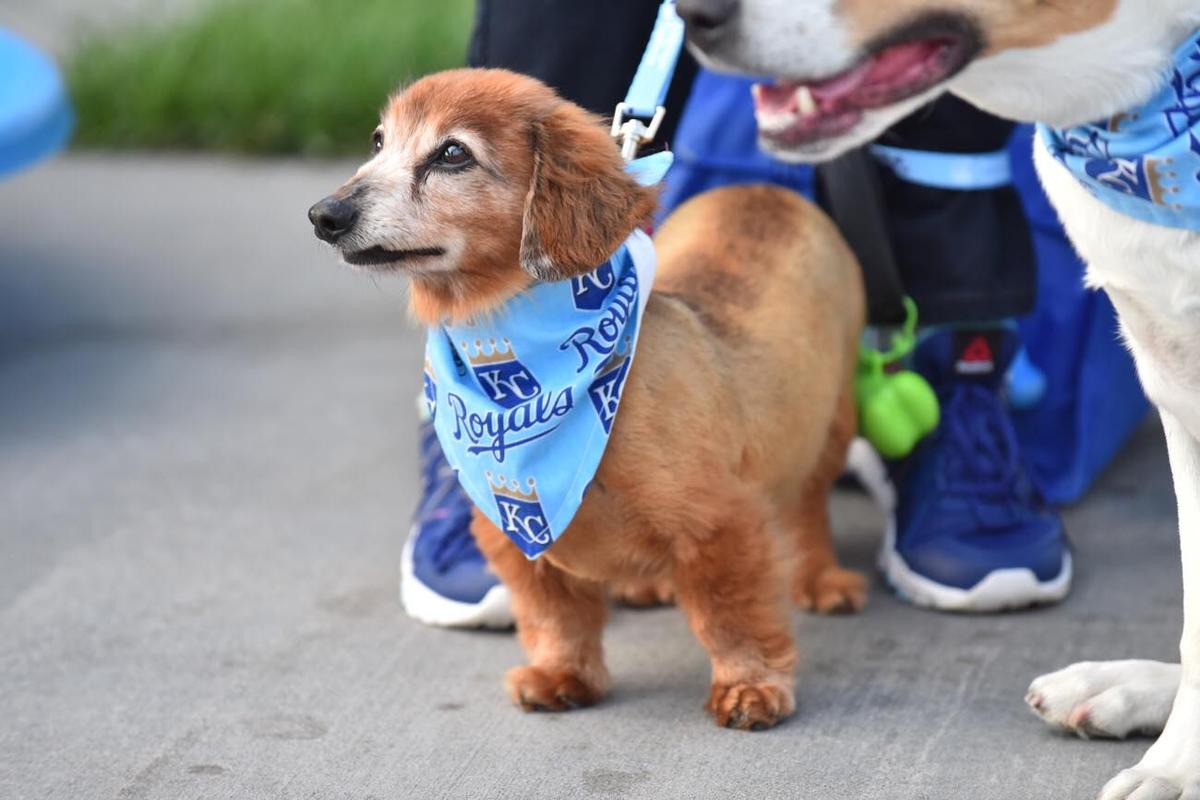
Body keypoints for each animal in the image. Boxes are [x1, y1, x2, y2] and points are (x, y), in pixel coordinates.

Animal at [312, 70, 864, 734]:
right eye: (377, 141)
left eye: (452, 154)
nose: (324, 215)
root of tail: (763, 188)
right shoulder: (514, 538)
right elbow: (558, 618)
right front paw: (561, 675)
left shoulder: (721, 521)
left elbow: (731, 615)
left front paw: (749, 685)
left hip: (830, 427)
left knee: (808, 510)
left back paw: (821, 578)